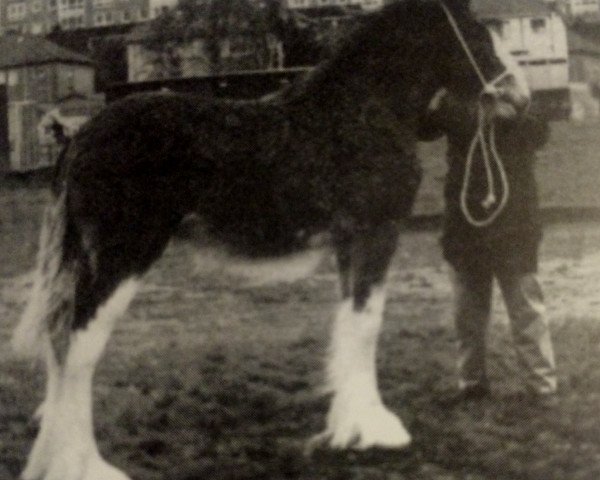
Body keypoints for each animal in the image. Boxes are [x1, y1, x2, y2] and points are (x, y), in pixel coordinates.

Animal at [11, 1, 528, 478]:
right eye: (479, 33)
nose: (521, 97)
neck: (361, 109)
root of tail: (79, 139)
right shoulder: (376, 234)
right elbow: (367, 325)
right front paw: (375, 429)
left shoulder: (349, 243)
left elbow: (348, 322)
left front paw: (344, 426)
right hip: (123, 257)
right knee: (78, 348)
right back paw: (82, 465)